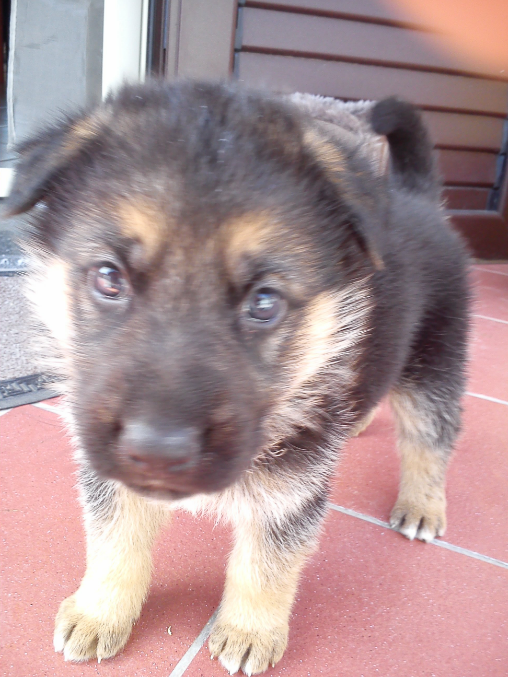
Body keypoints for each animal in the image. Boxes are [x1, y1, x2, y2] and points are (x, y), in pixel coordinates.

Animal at [6, 81, 470, 675]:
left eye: (264, 303)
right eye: (109, 278)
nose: (157, 451)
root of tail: (420, 199)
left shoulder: (292, 492)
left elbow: (265, 566)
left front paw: (250, 631)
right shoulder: (108, 472)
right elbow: (114, 542)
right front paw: (99, 611)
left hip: (433, 363)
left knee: (430, 440)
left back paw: (422, 505)